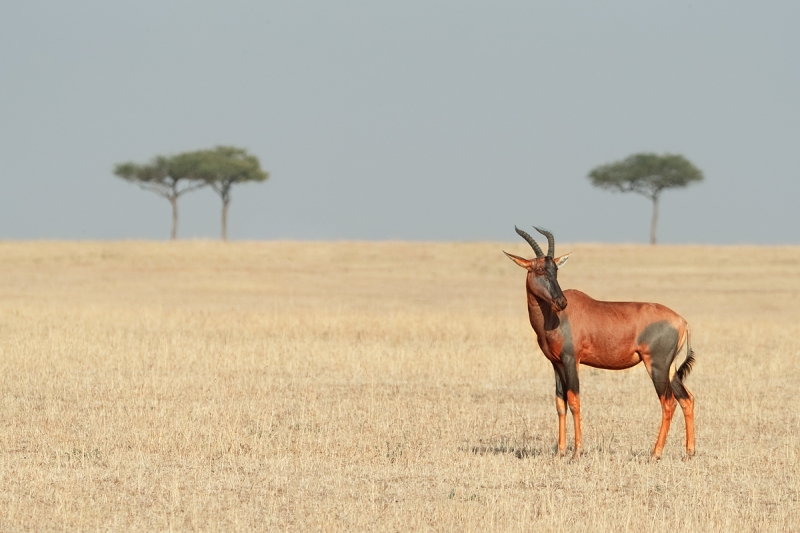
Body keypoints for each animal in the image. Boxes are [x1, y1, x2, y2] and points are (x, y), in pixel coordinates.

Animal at [506, 227, 692, 460]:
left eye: (555, 269)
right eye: (540, 269)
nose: (561, 302)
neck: (555, 316)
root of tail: (682, 321)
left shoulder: (571, 360)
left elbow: (574, 400)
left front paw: (576, 452)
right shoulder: (556, 364)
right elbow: (560, 403)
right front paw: (560, 452)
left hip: (656, 366)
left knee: (668, 403)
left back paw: (655, 454)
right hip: (671, 369)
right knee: (687, 399)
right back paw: (689, 452)